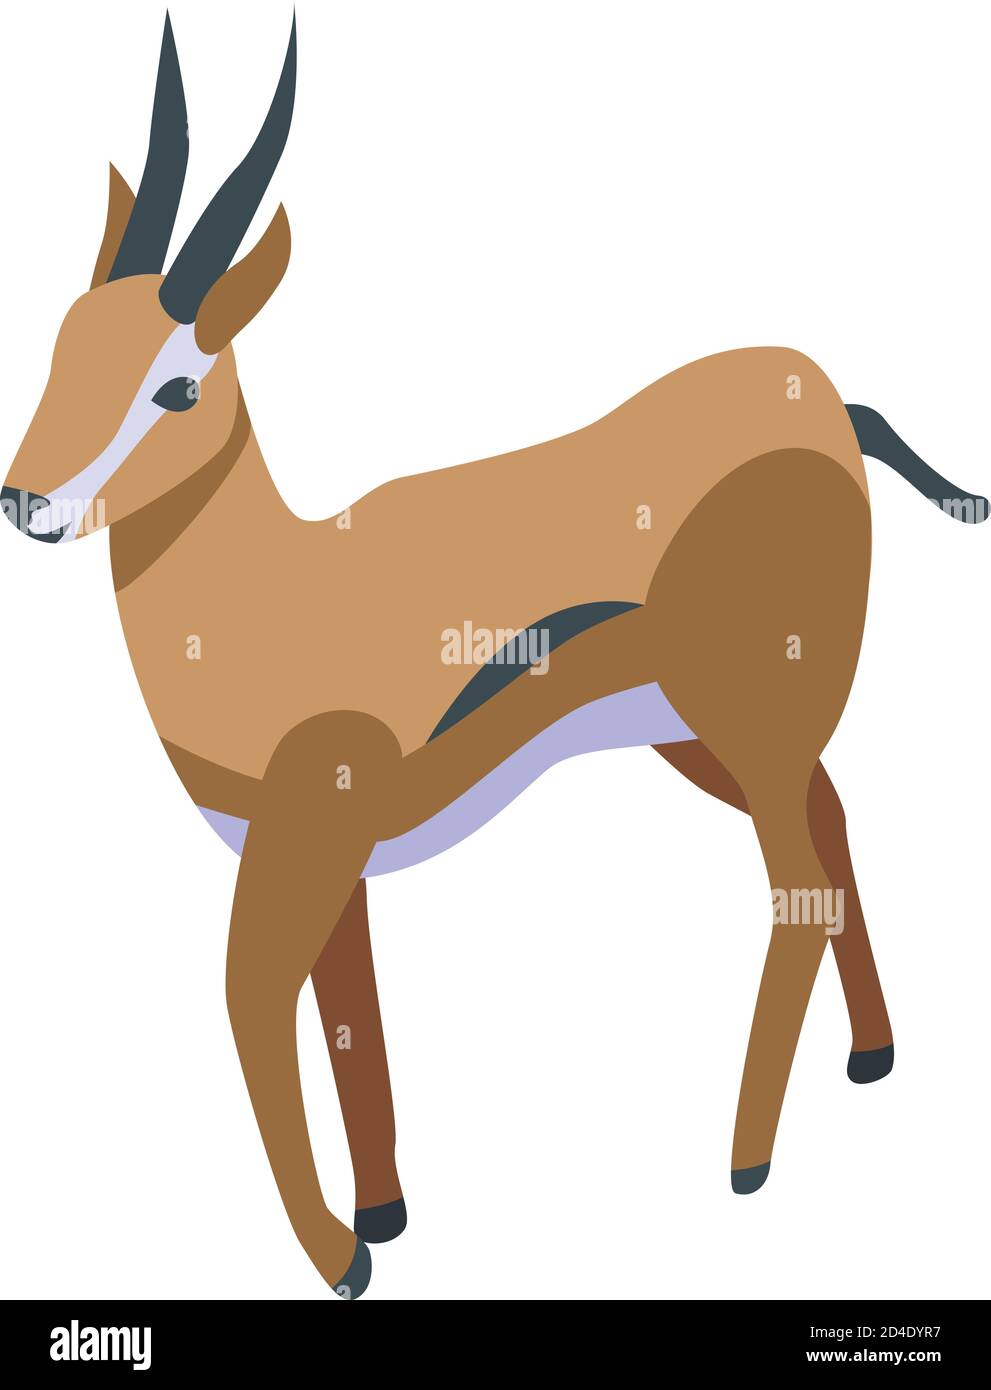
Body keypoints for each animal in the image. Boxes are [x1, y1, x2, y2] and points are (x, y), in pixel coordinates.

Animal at [3, 13, 986, 1300]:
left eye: (177, 384)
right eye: (61, 343)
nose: (27, 504)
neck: (270, 596)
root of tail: (825, 399)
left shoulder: (299, 841)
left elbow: (250, 1000)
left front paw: (339, 1258)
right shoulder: (334, 860)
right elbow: (349, 1013)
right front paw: (383, 1215)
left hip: (750, 723)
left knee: (795, 890)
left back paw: (744, 1163)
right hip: (706, 733)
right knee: (832, 817)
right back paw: (871, 1057)